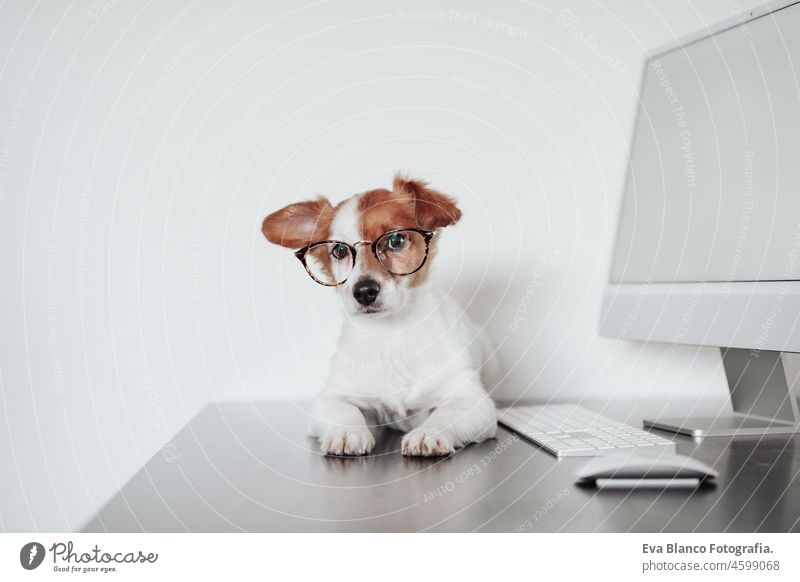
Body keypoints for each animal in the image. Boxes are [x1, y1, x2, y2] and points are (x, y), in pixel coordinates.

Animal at [260, 176, 494, 458]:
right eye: (340, 251)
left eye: (396, 240)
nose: (364, 292)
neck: (391, 333)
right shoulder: (332, 397)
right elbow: (344, 410)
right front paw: (347, 432)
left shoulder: (474, 401)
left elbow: (447, 413)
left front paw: (429, 432)